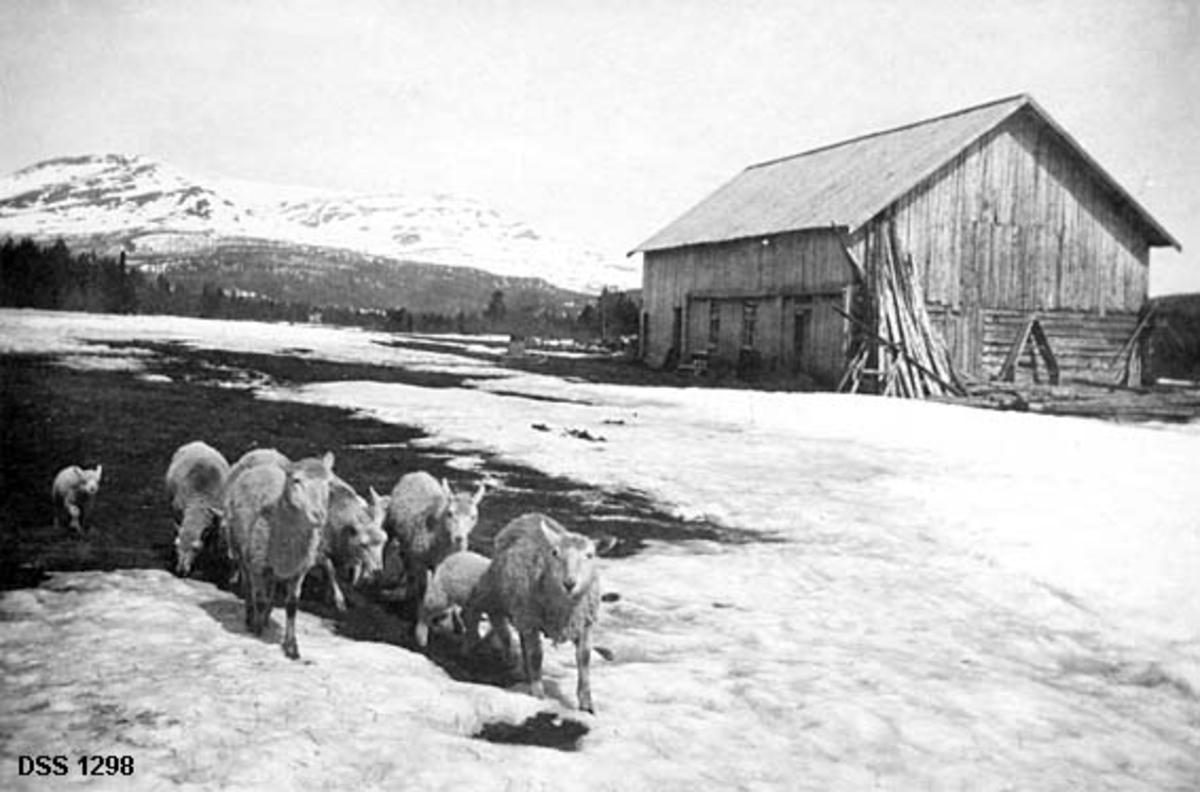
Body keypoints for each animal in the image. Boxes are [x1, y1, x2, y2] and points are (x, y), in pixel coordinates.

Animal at [164, 439, 229, 576]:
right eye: (176, 545)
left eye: (195, 549)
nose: (181, 571)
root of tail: (198, 442)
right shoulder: (178, 512)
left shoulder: (216, 518)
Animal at [224, 451, 338, 662]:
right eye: (297, 480)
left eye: (329, 483)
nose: (319, 515)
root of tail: (263, 453)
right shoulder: (257, 564)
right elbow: (259, 599)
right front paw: (257, 631)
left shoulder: (298, 570)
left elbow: (291, 606)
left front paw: (291, 647)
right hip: (242, 552)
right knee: (249, 589)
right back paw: (251, 618)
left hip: (274, 568)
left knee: (271, 592)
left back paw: (266, 618)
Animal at [379, 470, 482, 607]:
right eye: (449, 513)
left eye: (473, 517)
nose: (459, 538)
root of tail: (417, 473)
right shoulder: (419, 560)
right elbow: (423, 587)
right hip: (390, 525)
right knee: (387, 548)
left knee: (405, 559)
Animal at [458, 511, 609, 715]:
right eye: (555, 553)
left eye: (590, 555)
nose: (569, 583)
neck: (564, 609)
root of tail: (529, 515)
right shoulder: (531, 619)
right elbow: (537, 655)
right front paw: (538, 694)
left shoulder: (585, 624)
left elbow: (584, 660)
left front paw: (587, 702)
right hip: (495, 590)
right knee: (475, 611)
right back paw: (472, 646)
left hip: (519, 609)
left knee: (517, 638)